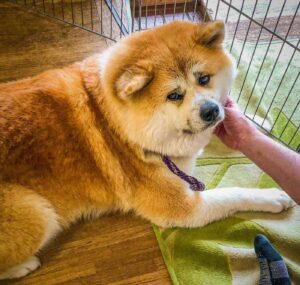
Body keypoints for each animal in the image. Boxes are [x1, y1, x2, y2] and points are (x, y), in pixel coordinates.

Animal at [0, 21, 292, 278]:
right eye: (174, 95)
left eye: (204, 78)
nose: (210, 111)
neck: (115, 122)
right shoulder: (183, 208)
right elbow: (232, 194)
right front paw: (272, 197)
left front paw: (258, 123)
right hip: (38, 212)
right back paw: (23, 266)